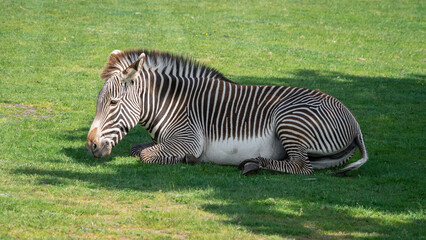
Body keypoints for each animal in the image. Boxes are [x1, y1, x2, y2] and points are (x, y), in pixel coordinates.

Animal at [85, 49, 368, 175]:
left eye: (113, 103)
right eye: (99, 102)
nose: (91, 146)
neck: (172, 103)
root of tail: (354, 123)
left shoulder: (189, 139)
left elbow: (144, 154)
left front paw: (189, 159)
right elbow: (136, 148)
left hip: (290, 120)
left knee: (302, 167)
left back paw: (253, 163)